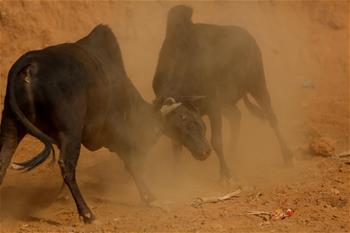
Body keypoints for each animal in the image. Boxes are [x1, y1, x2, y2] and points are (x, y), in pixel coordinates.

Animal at [153, 5, 292, 182]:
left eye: (192, 121)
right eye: (176, 130)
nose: (203, 153)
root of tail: (249, 38)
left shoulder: (213, 107)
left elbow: (217, 142)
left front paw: (225, 175)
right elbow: (176, 150)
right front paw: (176, 178)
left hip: (257, 84)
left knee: (271, 117)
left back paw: (287, 155)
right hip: (228, 102)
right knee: (236, 117)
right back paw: (233, 156)